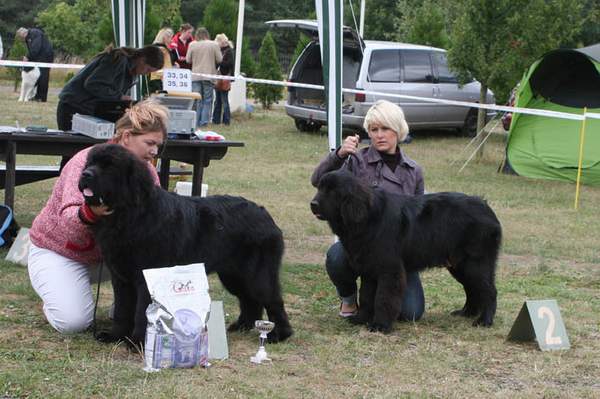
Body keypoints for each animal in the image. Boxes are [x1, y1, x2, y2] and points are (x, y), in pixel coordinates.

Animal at [78, 144, 294, 346]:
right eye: (90, 163)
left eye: (110, 166)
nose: (85, 174)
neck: (129, 214)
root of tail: (265, 214)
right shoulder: (121, 278)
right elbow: (123, 309)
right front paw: (115, 336)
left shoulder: (146, 276)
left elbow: (142, 312)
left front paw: (138, 342)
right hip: (233, 275)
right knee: (250, 300)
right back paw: (241, 326)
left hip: (256, 274)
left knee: (272, 299)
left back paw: (278, 335)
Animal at [310, 170, 502, 332]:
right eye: (319, 188)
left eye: (333, 192)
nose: (313, 204)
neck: (367, 217)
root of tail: (486, 207)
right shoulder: (369, 269)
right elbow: (366, 297)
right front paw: (361, 319)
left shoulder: (389, 270)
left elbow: (383, 298)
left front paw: (380, 325)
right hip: (459, 265)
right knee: (472, 289)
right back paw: (466, 312)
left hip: (475, 264)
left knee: (489, 291)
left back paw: (484, 320)